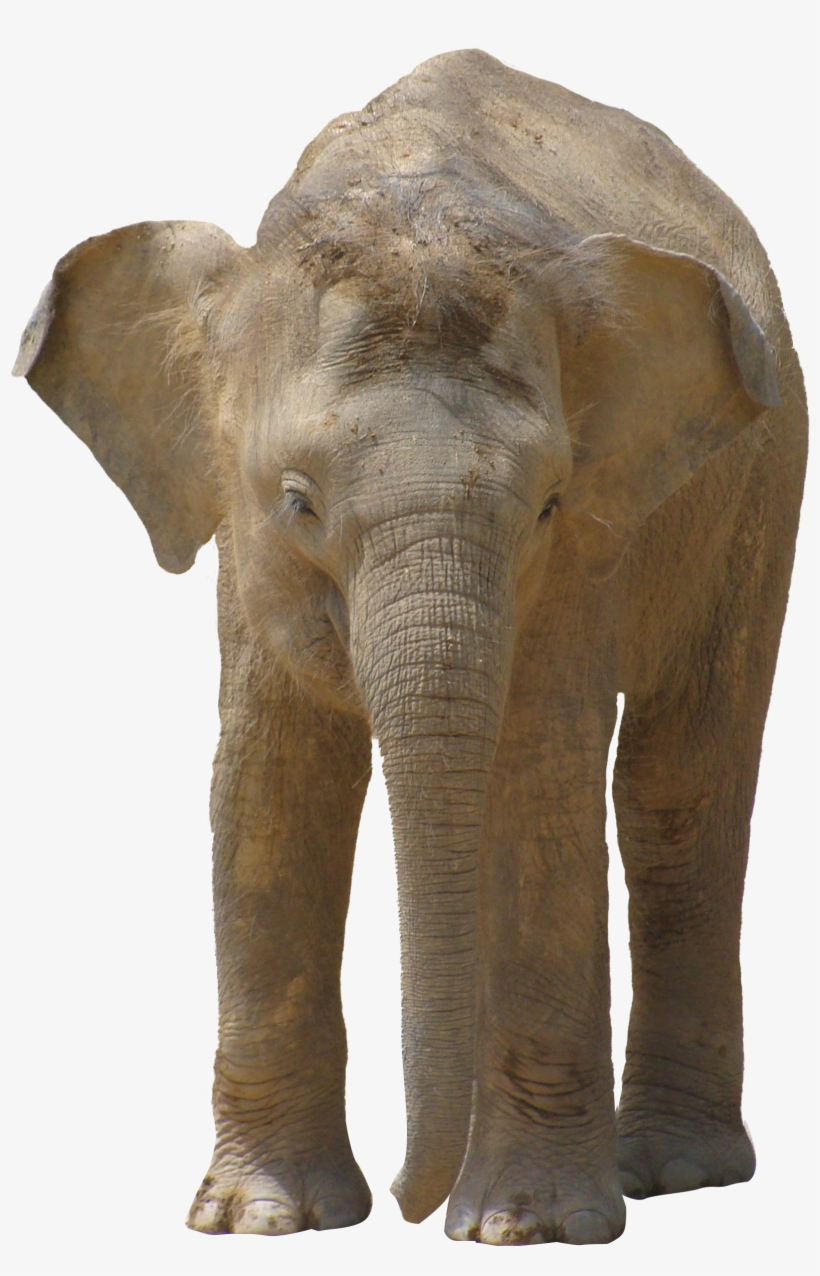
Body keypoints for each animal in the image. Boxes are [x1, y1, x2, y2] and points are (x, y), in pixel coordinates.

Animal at [13, 50, 807, 1246]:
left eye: (547, 504)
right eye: (296, 499)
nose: (402, 1198)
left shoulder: (587, 549)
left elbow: (537, 773)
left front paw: (525, 1229)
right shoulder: (245, 548)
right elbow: (267, 781)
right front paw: (263, 1220)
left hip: (765, 467)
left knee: (679, 787)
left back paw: (671, 1170)